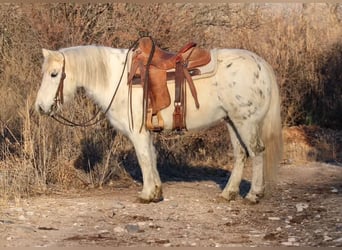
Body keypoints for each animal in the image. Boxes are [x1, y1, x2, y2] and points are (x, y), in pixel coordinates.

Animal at [34, 43, 282, 203]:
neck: (118, 80)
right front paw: (156, 192)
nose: (40, 107)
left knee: (257, 152)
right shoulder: (148, 132)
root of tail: (261, 64)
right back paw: (228, 193)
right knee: (241, 154)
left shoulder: (138, 132)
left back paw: (253, 195)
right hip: (232, 121)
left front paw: (147, 195)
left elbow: (144, 159)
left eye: (54, 74)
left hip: (245, 122)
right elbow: (151, 158)